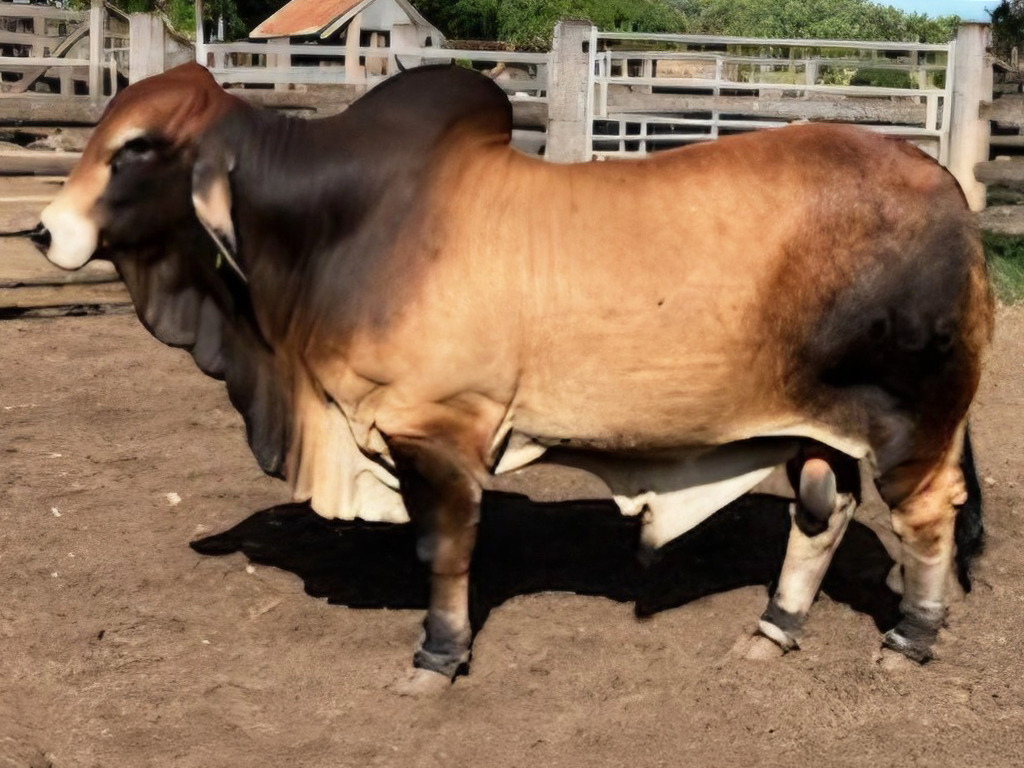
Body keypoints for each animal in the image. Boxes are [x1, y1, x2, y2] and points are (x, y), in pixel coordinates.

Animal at [34, 62, 994, 693]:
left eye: (138, 148)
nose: (43, 231)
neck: (338, 230)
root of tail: (945, 185)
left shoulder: (437, 432)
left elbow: (445, 550)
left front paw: (436, 659)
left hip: (913, 421)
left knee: (927, 515)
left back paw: (909, 640)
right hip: (812, 426)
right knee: (822, 515)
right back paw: (773, 631)